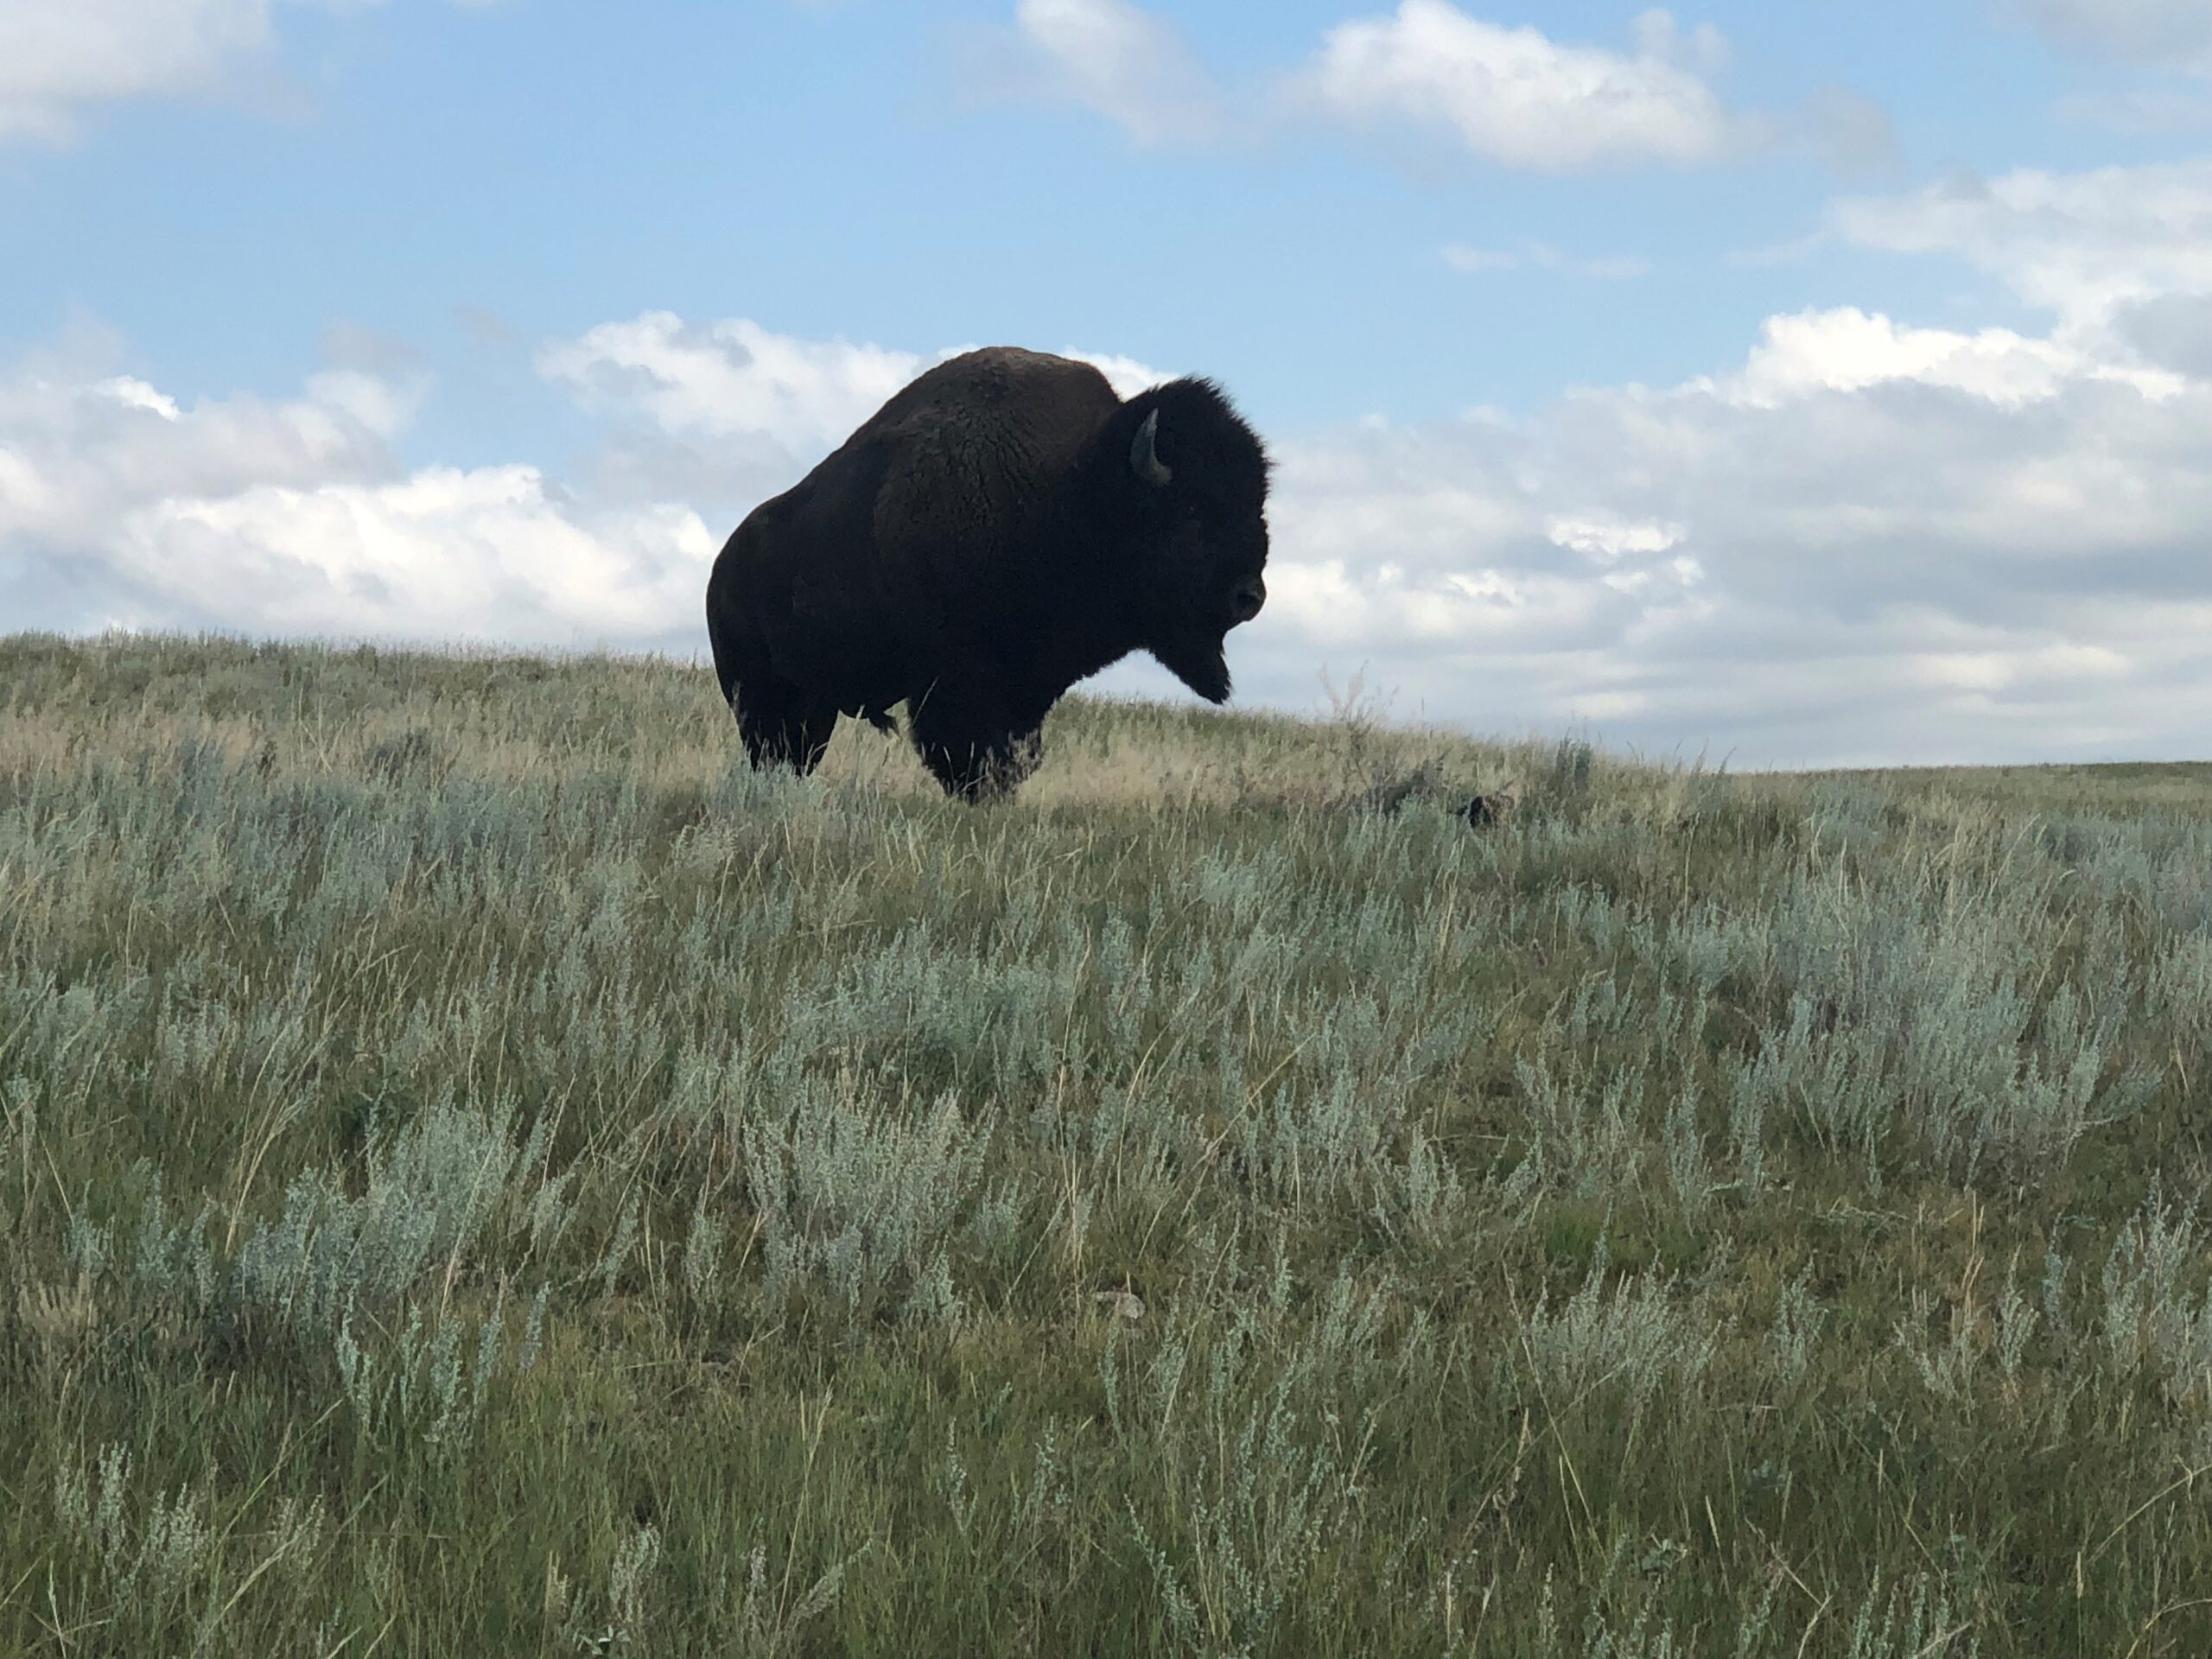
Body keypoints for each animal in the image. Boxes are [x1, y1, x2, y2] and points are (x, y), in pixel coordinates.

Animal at [705, 347, 1272, 800]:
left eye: (1257, 506)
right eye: (1191, 513)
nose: (1250, 596)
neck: (1066, 493)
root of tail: (720, 569)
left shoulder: (1028, 690)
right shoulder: (958, 681)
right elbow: (969, 754)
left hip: (813, 703)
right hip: (756, 693)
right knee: (773, 749)